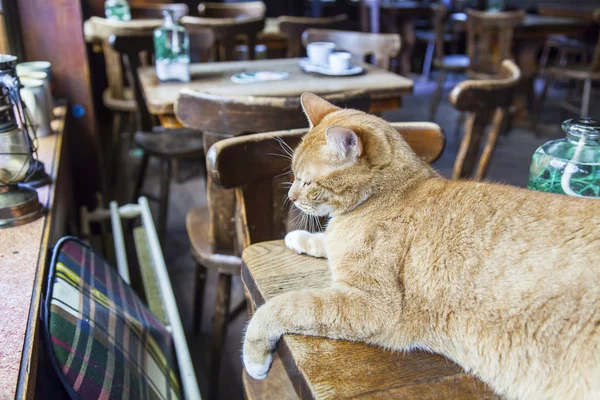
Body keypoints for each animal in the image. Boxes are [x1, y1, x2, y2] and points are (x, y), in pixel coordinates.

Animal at [243, 93, 600, 396]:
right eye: (293, 175)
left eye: (307, 182)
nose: (291, 197)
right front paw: (299, 237)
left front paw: (255, 357)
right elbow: (324, 243)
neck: (387, 194)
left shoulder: (372, 305)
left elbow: (280, 306)